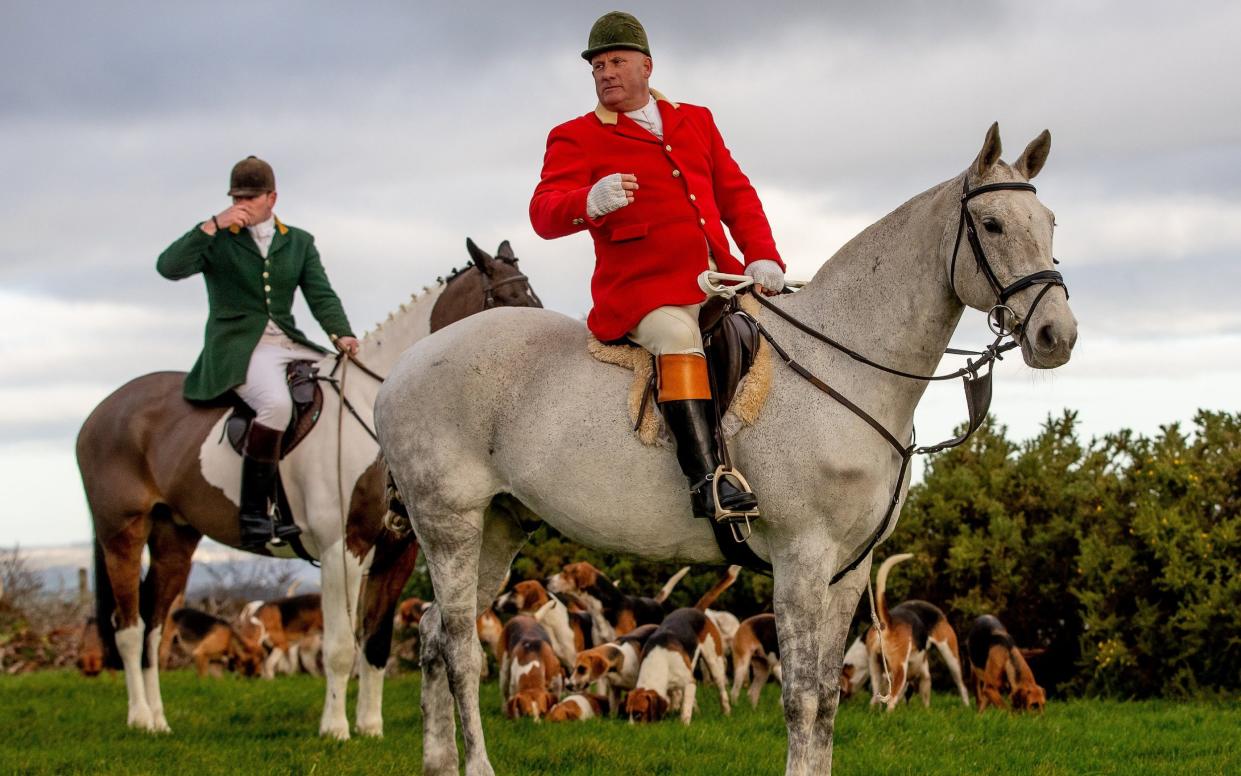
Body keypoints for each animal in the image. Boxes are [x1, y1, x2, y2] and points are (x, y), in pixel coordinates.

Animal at [77, 239, 538, 735]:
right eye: (509, 303)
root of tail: (102, 411)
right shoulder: (342, 548)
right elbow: (338, 646)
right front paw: (335, 729)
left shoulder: (397, 552)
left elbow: (375, 643)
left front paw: (370, 727)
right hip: (122, 534)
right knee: (128, 627)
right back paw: (140, 717)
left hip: (173, 541)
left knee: (154, 627)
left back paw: (159, 721)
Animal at [374, 124, 1077, 769]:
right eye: (991, 224)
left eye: (1050, 223)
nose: (1057, 336)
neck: (844, 364)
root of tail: (404, 368)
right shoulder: (801, 559)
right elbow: (799, 697)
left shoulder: (849, 569)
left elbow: (827, 698)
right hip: (450, 525)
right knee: (459, 647)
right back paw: (474, 765)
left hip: (498, 527)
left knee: (434, 635)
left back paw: (438, 763)